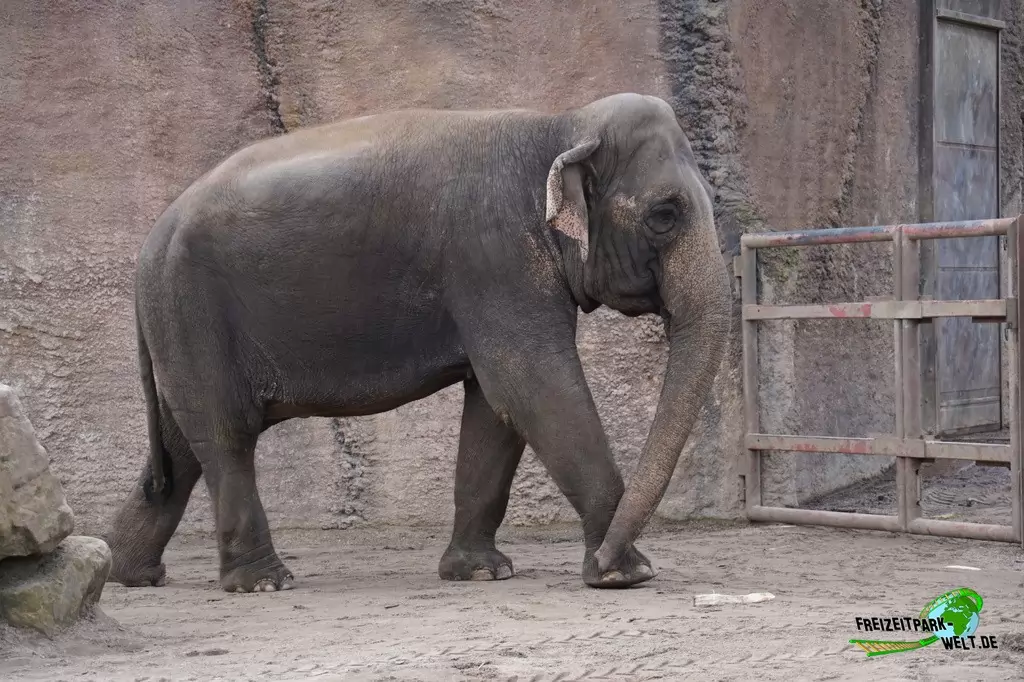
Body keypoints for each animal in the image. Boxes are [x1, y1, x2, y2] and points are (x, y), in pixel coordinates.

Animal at [105, 92, 731, 594]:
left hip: (180, 323)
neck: (563, 124)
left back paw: (126, 573)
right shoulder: (495, 256)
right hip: (191, 310)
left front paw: (480, 573)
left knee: (182, 443)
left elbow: (495, 406)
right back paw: (263, 583)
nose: (602, 561)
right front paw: (628, 575)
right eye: (665, 215)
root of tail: (149, 244)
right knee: (225, 433)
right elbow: (531, 384)